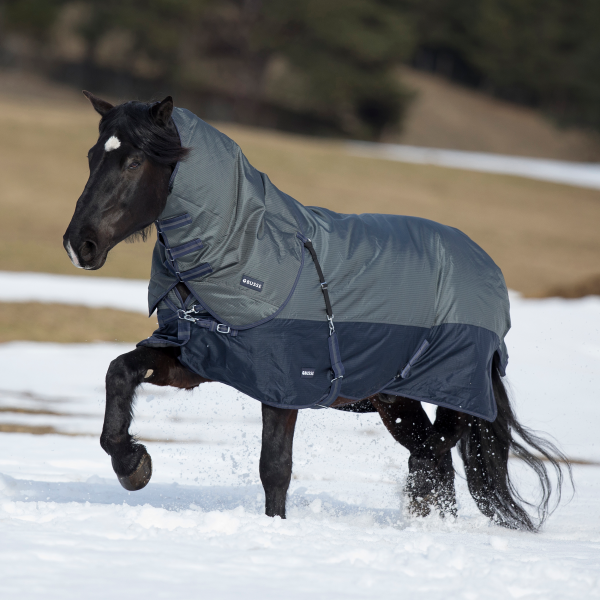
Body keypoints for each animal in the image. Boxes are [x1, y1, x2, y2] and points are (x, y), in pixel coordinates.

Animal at [63, 92, 568, 528]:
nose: (78, 244)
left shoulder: (283, 384)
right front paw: (134, 465)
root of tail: (487, 267)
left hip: (453, 389)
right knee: (433, 459)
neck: (250, 249)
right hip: (395, 399)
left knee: (436, 450)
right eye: (90, 157)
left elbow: (275, 468)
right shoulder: (199, 356)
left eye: (134, 161)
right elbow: (120, 371)